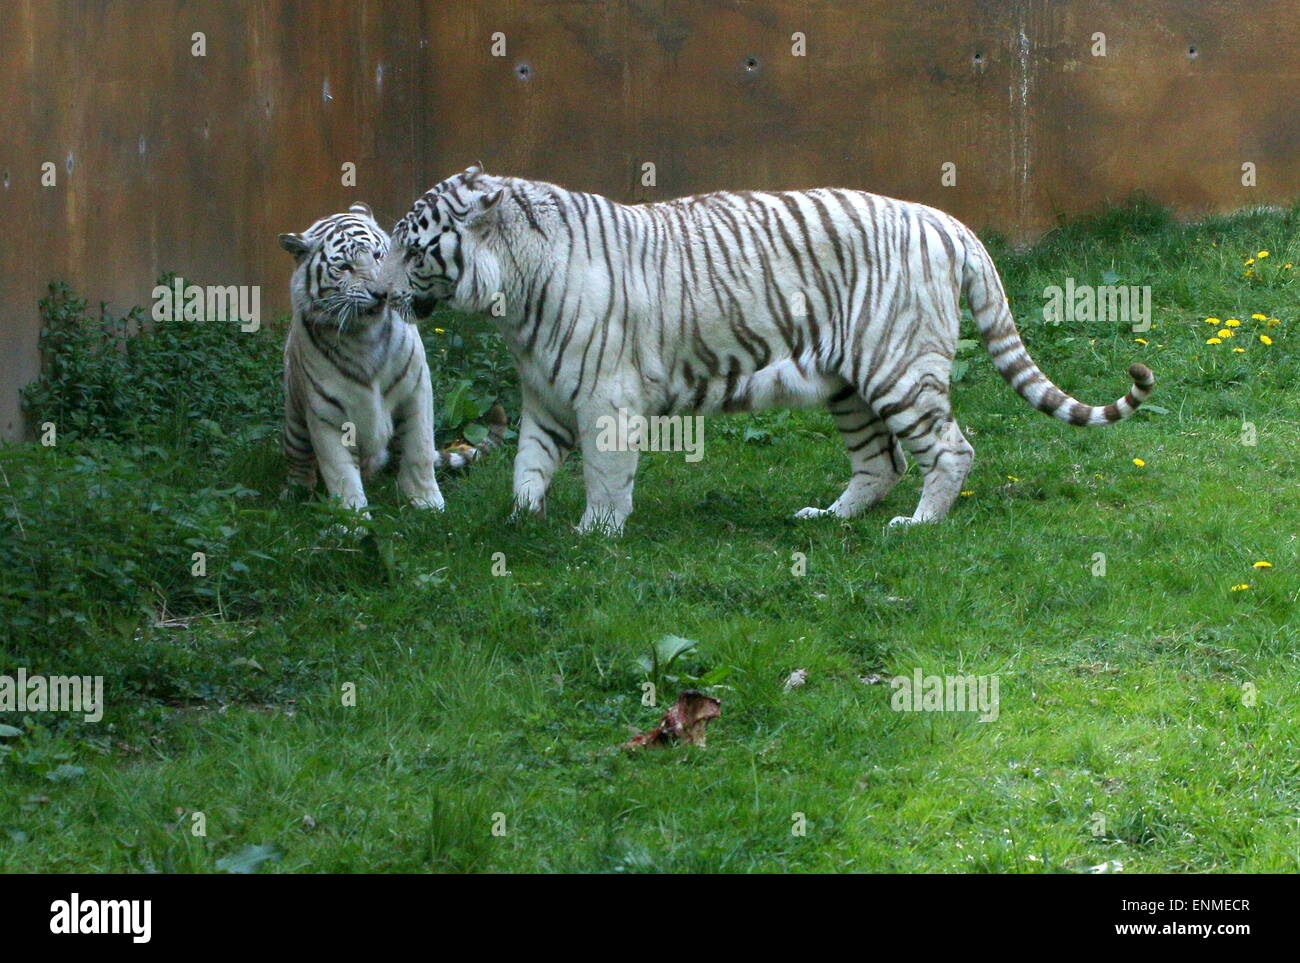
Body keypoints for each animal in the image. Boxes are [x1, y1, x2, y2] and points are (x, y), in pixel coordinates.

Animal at [279, 202, 501, 514]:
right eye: (345, 267)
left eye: (377, 255)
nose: (381, 292)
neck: (362, 336)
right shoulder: (325, 413)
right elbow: (340, 473)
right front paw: (352, 518)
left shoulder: (416, 390)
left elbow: (419, 452)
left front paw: (427, 503)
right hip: (295, 422)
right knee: (300, 463)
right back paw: (296, 494)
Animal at [379, 170, 1159, 538]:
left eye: (411, 247)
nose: (378, 291)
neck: (512, 295)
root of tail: (949, 221)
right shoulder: (543, 394)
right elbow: (529, 464)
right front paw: (520, 524)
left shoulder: (607, 396)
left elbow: (604, 474)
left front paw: (594, 533)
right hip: (847, 384)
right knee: (883, 462)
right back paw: (829, 517)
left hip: (898, 369)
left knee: (949, 449)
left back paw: (919, 524)